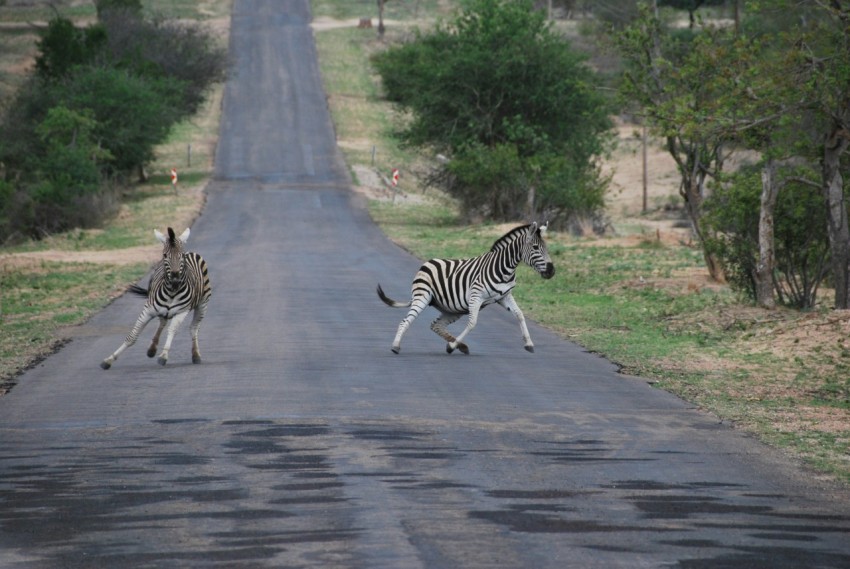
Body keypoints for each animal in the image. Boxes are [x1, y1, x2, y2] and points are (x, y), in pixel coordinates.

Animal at [100, 226, 211, 368]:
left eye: (181, 256)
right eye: (164, 255)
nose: (175, 280)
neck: (171, 291)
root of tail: (191, 252)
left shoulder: (181, 312)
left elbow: (172, 331)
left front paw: (163, 355)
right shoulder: (148, 309)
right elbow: (132, 336)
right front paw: (109, 359)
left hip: (203, 304)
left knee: (193, 328)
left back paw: (196, 355)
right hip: (162, 310)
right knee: (162, 323)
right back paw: (152, 349)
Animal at [374, 220, 552, 352]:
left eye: (547, 248)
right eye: (535, 248)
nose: (552, 271)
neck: (504, 268)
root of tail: (427, 262)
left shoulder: (504, 296)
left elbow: (520, 315)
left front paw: (529, 343)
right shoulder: (476, 296)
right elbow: (472, 323)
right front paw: (452, 347)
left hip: (453, 309)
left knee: (435, 325)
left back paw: (462, 346)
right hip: (423, 297)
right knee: (405, 321)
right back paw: (396, 346)